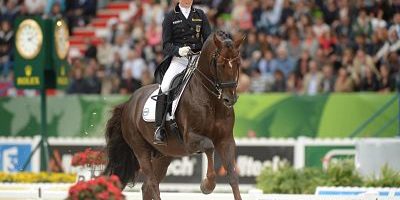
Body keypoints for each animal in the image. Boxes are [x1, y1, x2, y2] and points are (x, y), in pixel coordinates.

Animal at [103, 30, 244, 200]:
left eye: (238, 63)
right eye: (220, 64)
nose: (230, 99)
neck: (212, 101)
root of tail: (129, 103)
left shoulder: (226, 140)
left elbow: (232, 175)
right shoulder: (190, 139)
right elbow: (209, 146)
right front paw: (207, 185)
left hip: (164, 154)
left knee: (147, 186)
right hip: (141, 151)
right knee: (151, 183)